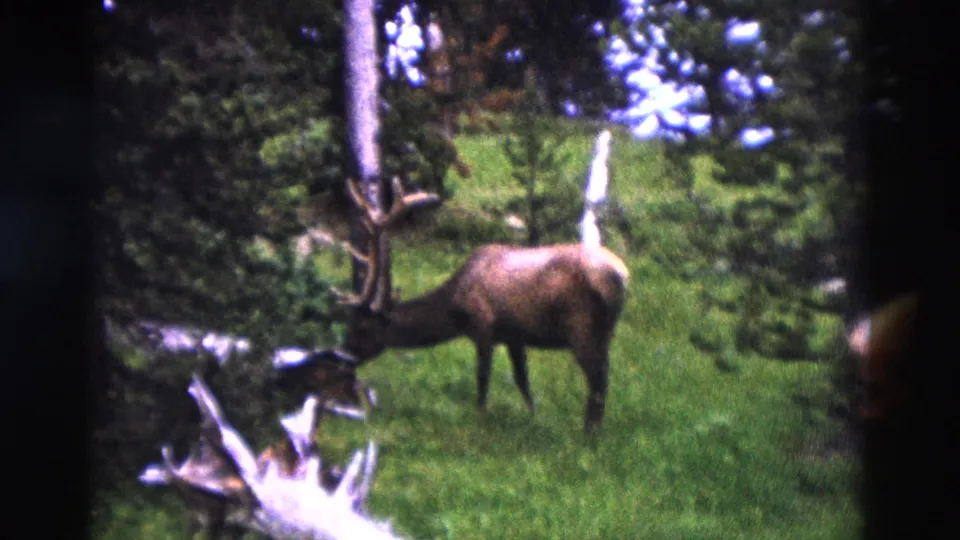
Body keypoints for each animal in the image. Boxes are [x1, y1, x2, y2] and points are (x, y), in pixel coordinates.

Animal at [329, 173, 630, 434]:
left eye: (362, 328)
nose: (341, 355)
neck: (455, 309)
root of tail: (622, 275)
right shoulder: (514, 335)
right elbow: (522, 379)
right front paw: (532, 416)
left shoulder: (483, 325)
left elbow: (482, 379)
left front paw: (481, 419)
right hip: (605, 330)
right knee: (602, 376)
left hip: (581, 326)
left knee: (597, 379)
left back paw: (590, 433)